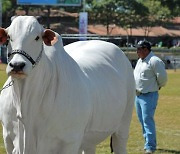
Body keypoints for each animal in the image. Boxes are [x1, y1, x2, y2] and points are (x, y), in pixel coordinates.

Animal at [0, 16, 135, 153]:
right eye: (9, 37)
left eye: (37, 37)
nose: (17, 65)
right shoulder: (8, 139)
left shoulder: (70, 141)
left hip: (124, 123)